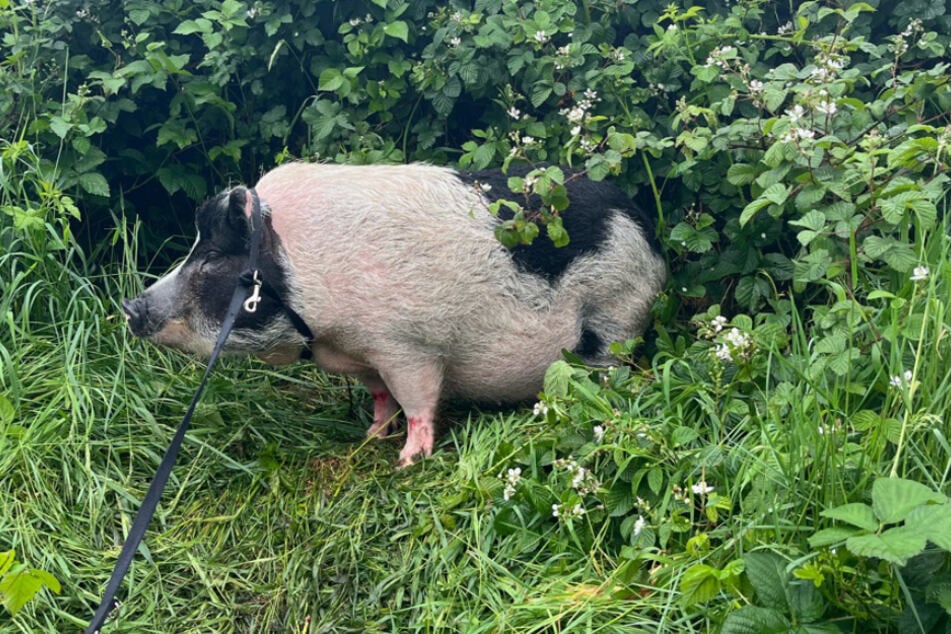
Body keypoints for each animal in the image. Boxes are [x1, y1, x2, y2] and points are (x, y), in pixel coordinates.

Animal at [121, 163, 668, 464]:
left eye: (214, 257)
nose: (129, 305)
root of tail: (644, 226)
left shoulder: (408, 345)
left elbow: (418, 400)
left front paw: (406, 462)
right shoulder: (363, 355)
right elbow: (382, 396)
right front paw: (368, 437)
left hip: (616, 309)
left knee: (609, 364)